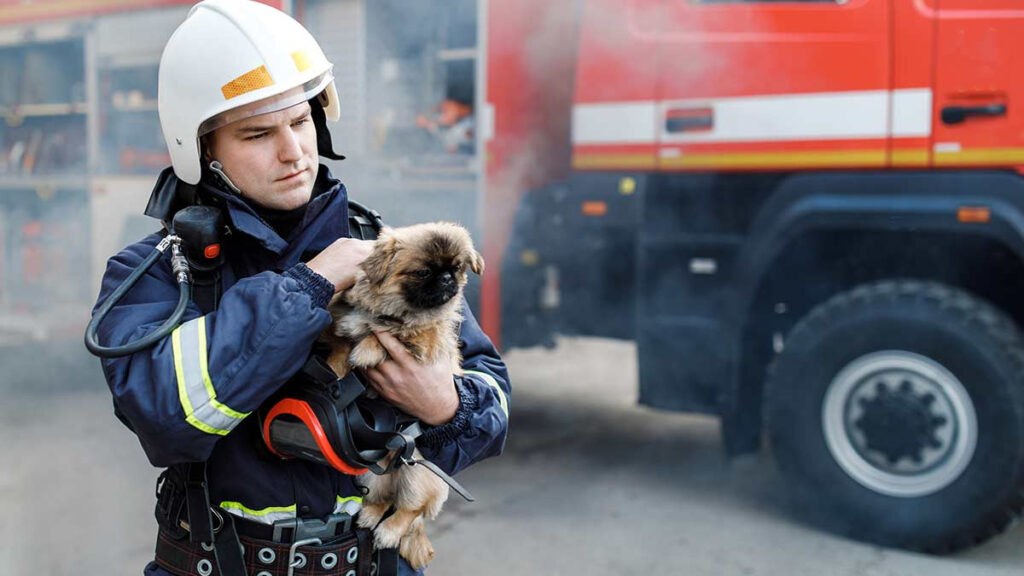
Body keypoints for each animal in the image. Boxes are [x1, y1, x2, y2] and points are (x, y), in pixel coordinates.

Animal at [325, 219, 485, 565]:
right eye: (423, 272)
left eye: (457, 267)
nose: (448, 279)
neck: (391, 309)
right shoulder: (345, 322)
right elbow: (342, 340)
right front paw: (337, 366)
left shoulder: (425, 338)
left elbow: (392, 333)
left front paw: (368, 349)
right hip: (370, 477)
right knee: (384, 500)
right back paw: (369, 516)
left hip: (418, 478)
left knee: (408, 510)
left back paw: (387, 532)